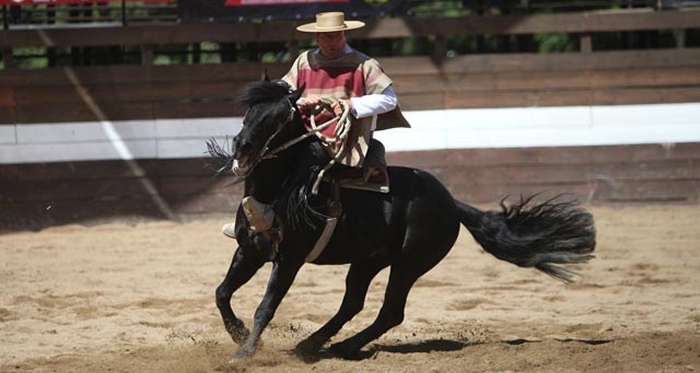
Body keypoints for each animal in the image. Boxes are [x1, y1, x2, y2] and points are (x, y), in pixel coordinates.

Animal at [208, 79, 596, 360]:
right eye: (249, 109)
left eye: (281, 117)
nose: (241, 146)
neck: (279, 191)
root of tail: (452, 203)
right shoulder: (249, 251)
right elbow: (222, 292)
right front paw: (239, 335)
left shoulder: (290, 259)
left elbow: (266, 307)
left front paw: (244, 353)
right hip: (369, 261)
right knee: (354, 303)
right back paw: (314, 345)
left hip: (410, 263)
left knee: (391, 311)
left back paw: (338, 347)